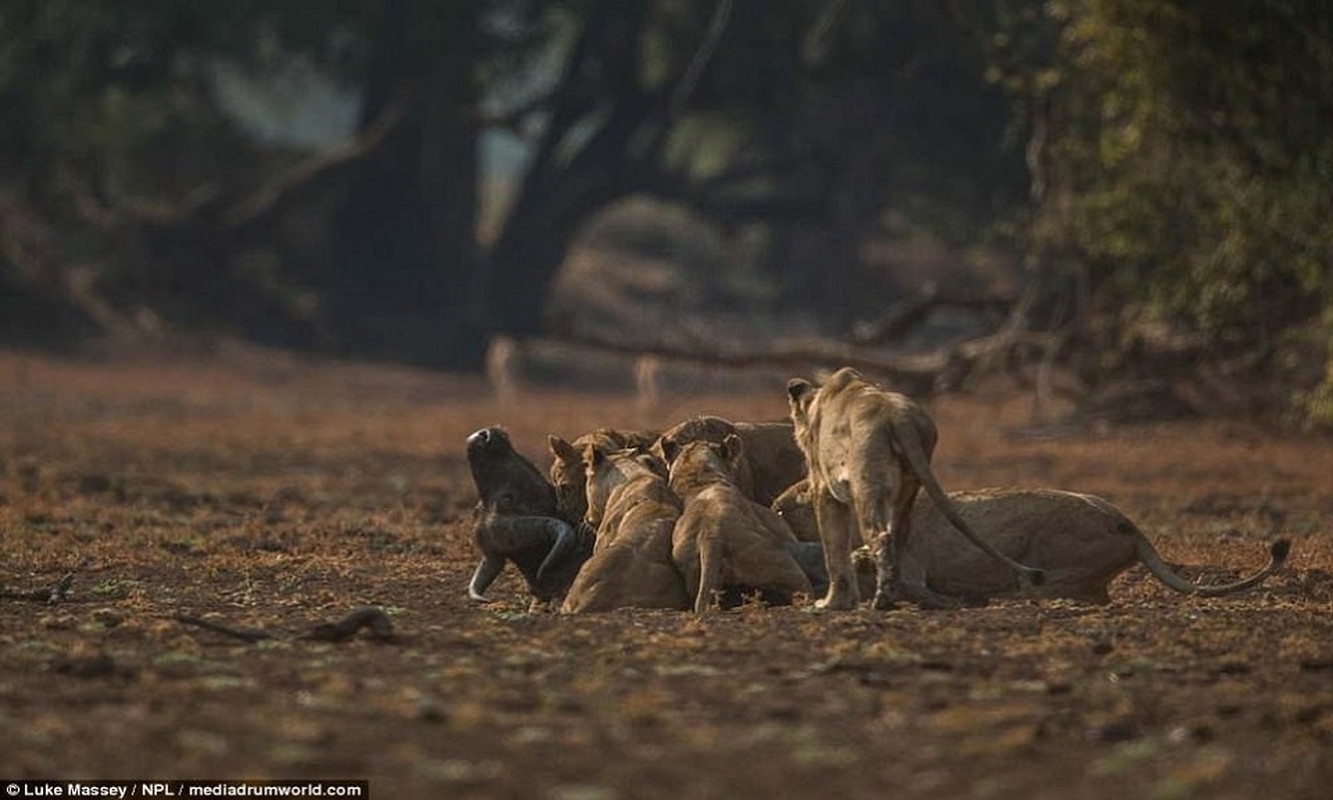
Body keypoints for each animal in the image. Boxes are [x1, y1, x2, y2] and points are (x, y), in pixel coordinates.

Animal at [783, 368, 1045, 613]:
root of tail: (899, 418)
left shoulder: (824, 488)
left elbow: (834, 548)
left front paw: (831, 604)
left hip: (865, 484)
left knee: (881, 536)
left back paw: (882, 600)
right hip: (908, 484)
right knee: (898, 534)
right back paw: (892, 594)